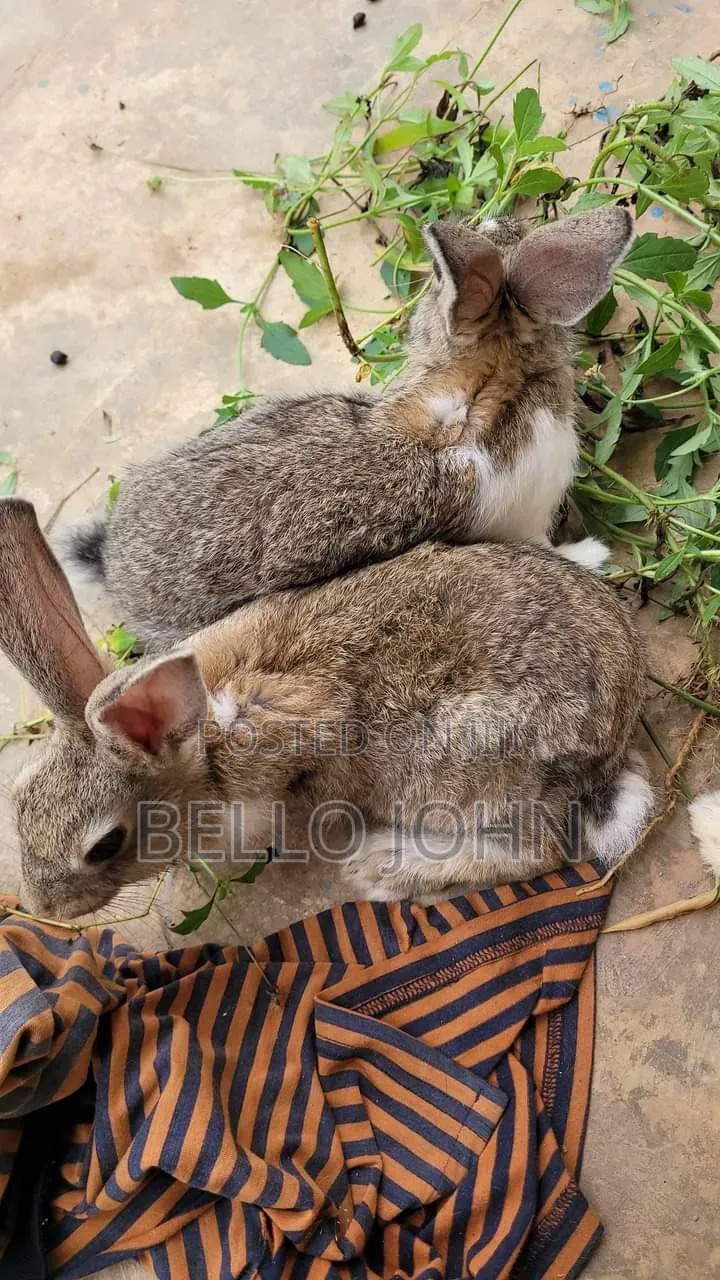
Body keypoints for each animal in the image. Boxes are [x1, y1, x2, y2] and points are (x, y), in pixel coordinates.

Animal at [1, 498, 652, 920]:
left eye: (105, 846)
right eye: (19, 800)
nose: (44, 907)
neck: (202, 752)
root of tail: (611, 743)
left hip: (463, 771)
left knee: (535, 853)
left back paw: (385, 866)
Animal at [64, 206, 634, 647]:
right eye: (436, 275)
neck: (487, 385)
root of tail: (113, 566)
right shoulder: (526, 516)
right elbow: (550, 547)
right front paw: (594, 554)